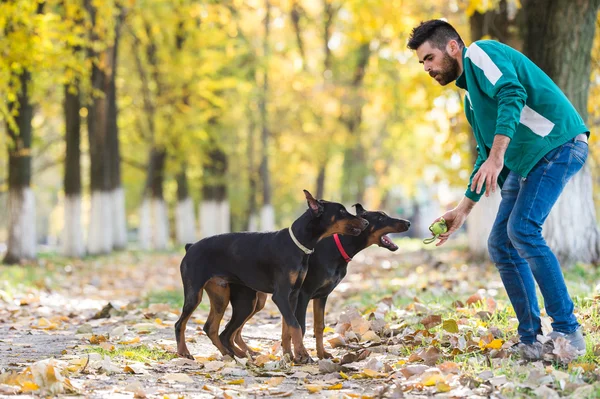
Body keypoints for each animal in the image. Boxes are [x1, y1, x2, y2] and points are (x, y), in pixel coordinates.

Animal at [175, 190, 370, 362]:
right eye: (341, 211)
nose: (366, 222)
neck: (298, 244)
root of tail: (190, 246)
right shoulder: (281, 295)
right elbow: (296, 325)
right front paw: (303, 355)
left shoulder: (293, 295)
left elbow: (287, 329)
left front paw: (290, 356)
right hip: (196, 293)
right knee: (181, 323)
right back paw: (184, 352)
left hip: (221, 295)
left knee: (212, 328)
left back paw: (233, 355)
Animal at [209, 205, 410, 360]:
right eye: (381, 217)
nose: (408, 223)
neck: (337, 247)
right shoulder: (303, 294)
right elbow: (300, 326)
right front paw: (300, 355)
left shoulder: (321, 296)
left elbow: (317, 327)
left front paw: (320, 354)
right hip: (247, 301)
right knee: (229, 331)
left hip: (256, 301)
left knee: (234, 332)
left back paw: (247, 353)